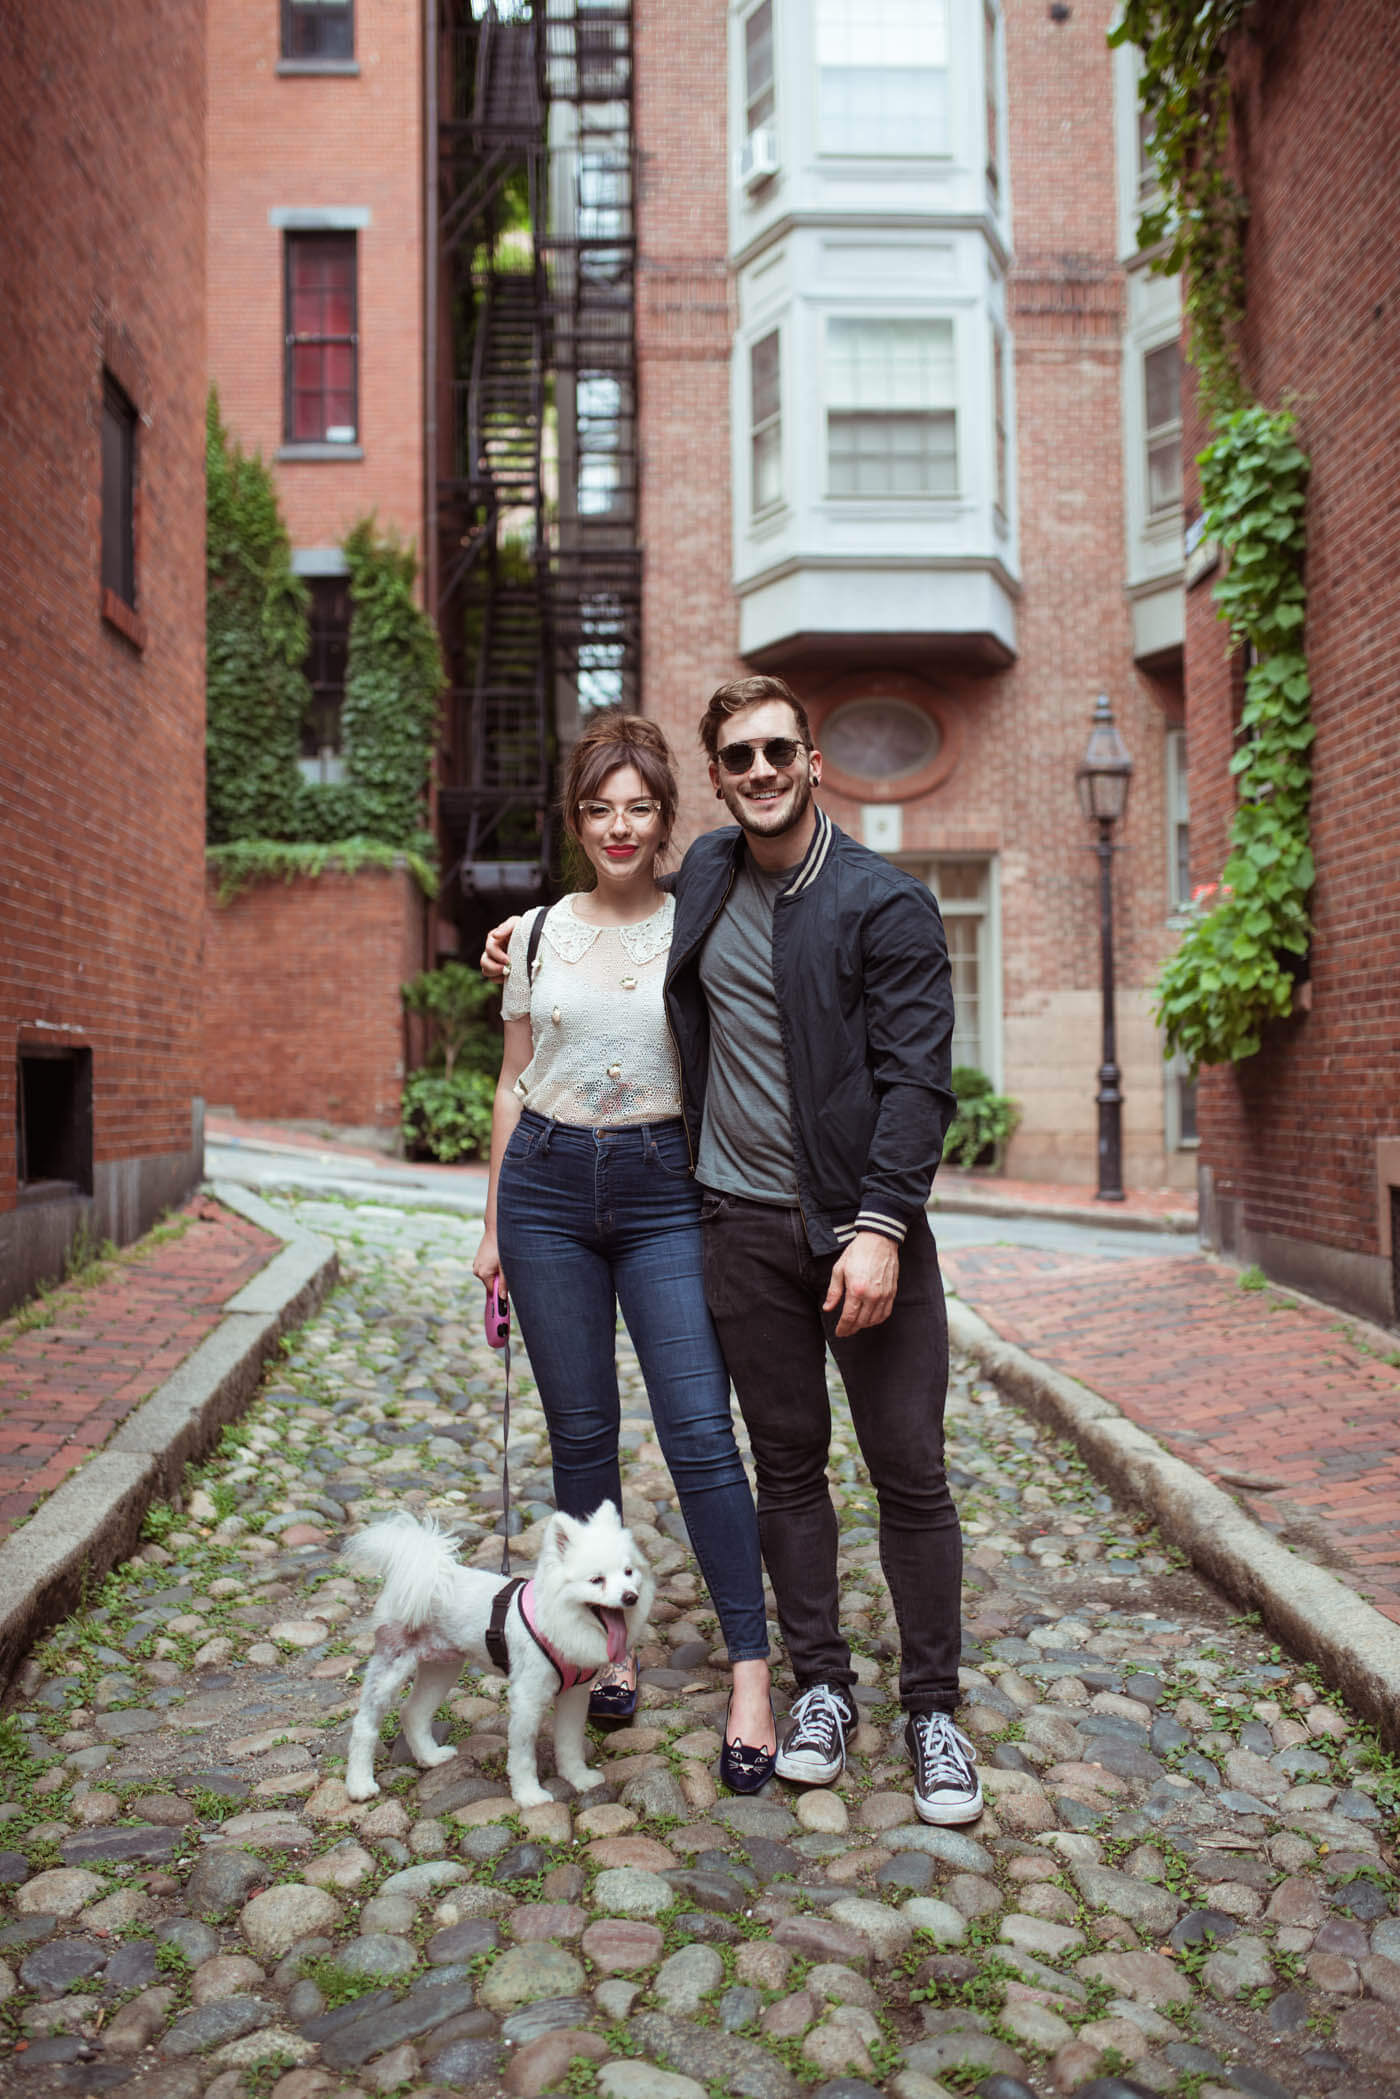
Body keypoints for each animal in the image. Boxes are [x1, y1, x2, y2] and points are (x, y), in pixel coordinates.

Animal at [342, 1502, 654, 1813]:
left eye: (628, 1572)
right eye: (596, 1580)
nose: (630, 1597)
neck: (558, 1618)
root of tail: (423, 1570)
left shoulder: (574, 1694)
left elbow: (569, 1742)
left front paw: (577, 1777)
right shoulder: (528, 1698)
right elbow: (524, 1755)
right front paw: (529, 1796)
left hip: (442, 1668)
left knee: (413, 1711)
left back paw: (430, 1757)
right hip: (391, 1667)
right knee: (364, 1725)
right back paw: (359, 1785)